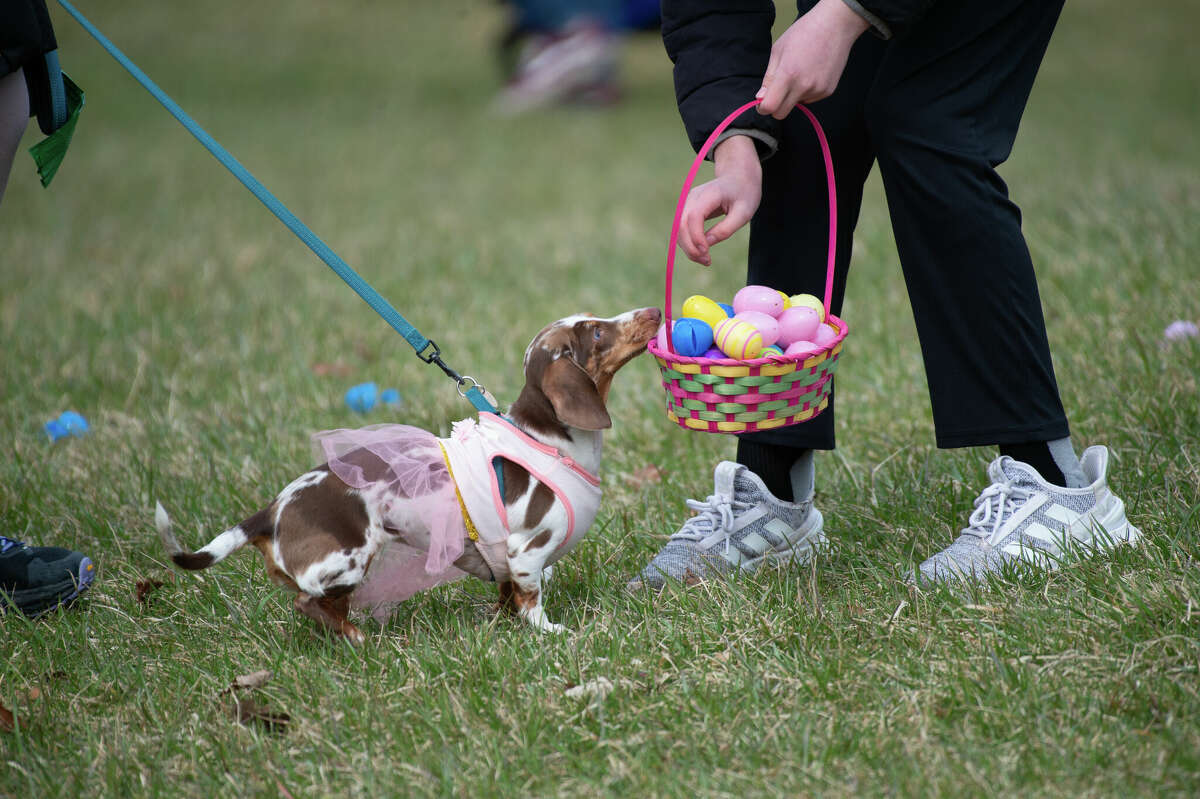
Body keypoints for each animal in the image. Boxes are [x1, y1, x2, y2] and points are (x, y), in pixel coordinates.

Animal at [154, 304, 662, 643]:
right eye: (596, 333)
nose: (654, 310)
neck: (550, 441)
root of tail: (273, 510)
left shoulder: (505, 564)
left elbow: (507, 598)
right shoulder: (526, 553)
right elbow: (531, 601)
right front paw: (552, 631)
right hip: (349, 558)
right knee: (308, 601)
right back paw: (357, 638)